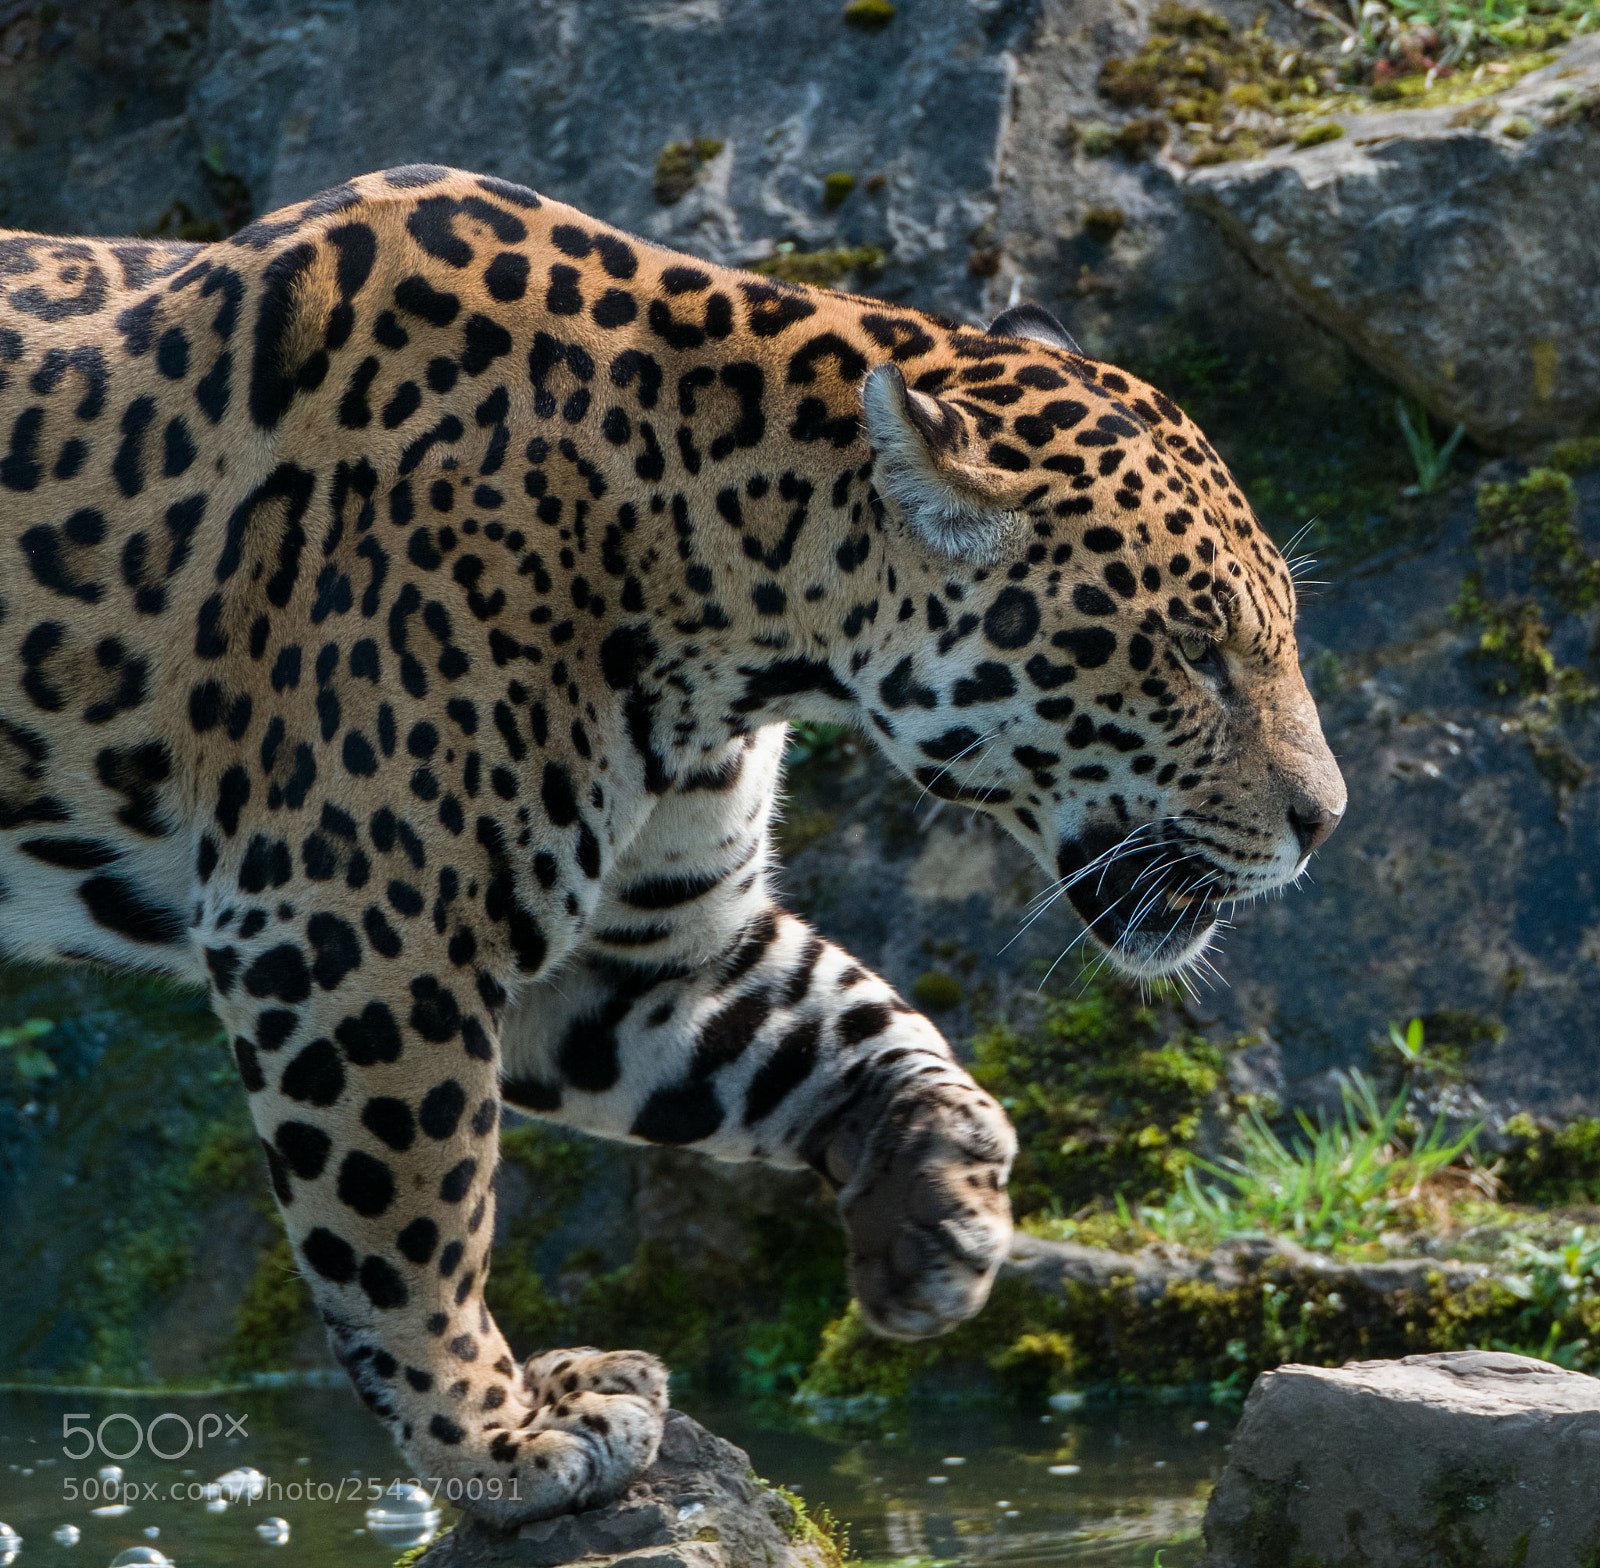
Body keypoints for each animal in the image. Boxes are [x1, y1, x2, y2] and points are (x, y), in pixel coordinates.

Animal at [0, 164, 1344, 1525]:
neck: (730, 599)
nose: (1325, 818)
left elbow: (846, 1018)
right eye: (1193, 651)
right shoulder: (353, 934)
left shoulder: (640, 953)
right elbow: (413, 1221)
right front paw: (498, 1438)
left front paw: (938, 1202)